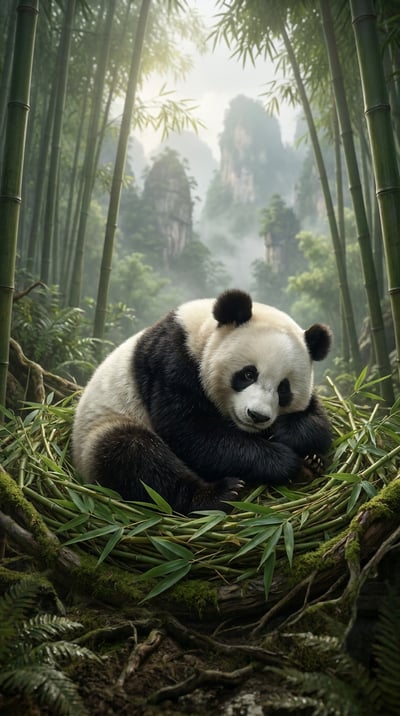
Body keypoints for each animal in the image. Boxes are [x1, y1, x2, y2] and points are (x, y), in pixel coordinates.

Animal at [72, 289, 332, 515]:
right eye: (248, 374)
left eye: (283, 388)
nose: (257, 416)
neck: (201, 331)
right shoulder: (171, 360)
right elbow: (191, 431)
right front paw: (285, 460)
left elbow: (318, 420)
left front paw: (297, 443)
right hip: (105, 426)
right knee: (135, 458)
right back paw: (220, 495)